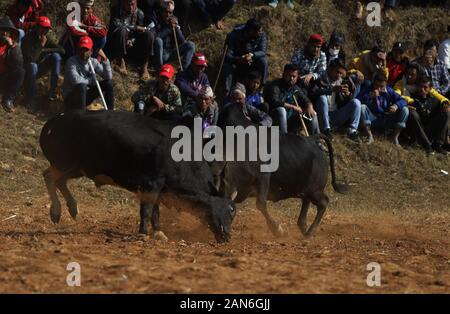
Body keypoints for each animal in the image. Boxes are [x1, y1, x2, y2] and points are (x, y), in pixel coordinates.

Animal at [39, 110, 236, 243]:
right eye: (231, 210)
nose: (227, 235)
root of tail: (54, 121)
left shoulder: (159, 188)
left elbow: (155, 211)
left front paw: (158, 232)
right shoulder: (150, 185)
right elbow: (147, 210)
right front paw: (143, 233)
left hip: (77, 168)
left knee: (59, 181)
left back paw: (72, 208)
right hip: (65, 163)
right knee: (49, 176)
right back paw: (56, 211)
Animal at [212, 104, 352, 237]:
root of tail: (312, 140)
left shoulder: (263, 177)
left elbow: (260, 204)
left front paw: (278, 230)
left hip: (315, 189)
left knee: (323, 202)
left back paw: (310, 231)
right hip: (306, 188)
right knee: (307, 201)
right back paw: (303, 226)